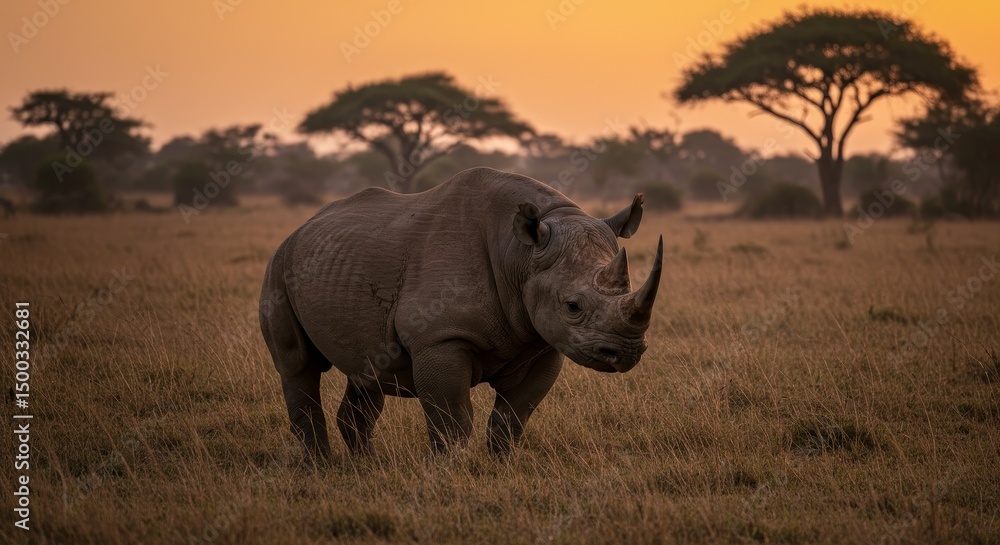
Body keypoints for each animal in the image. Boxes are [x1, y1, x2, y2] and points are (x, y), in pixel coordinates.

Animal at [259, 167, 663, 459]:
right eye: (572, 306)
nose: (625, 353)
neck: (520, 254)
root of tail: (299, 229)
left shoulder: (543, 343)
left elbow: (513, 417)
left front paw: (501, 467)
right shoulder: (439, 337)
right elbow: (452, 420)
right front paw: (450, 471)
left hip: (334, 262)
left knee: (367, 368)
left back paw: (367, 467)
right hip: (278, 268)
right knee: (298, 365)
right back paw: (322, 467)